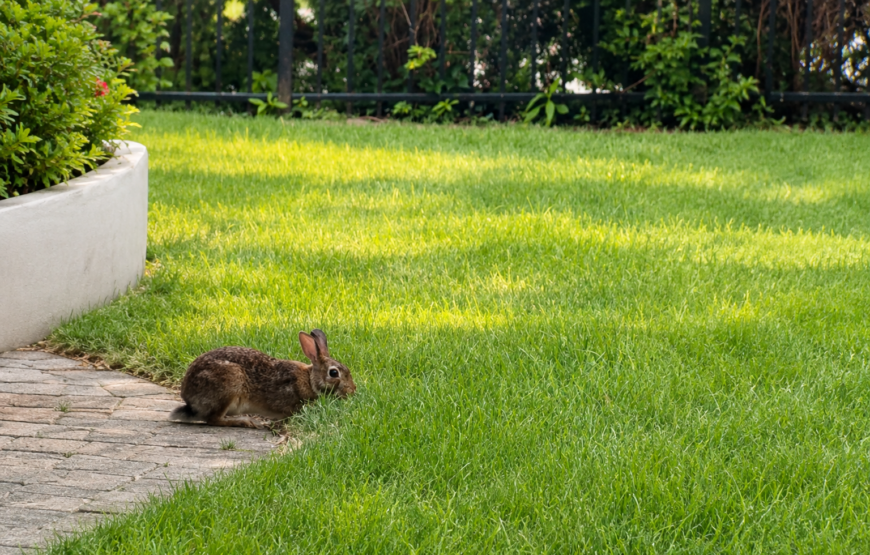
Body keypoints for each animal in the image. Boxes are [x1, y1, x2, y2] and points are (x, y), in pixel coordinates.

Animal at [169, 329, 355, 428]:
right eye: (334, 373)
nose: (352, 391)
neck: (309, 380)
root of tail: (189, 399)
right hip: (229, 384)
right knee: (213, 420)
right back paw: (246, 422)